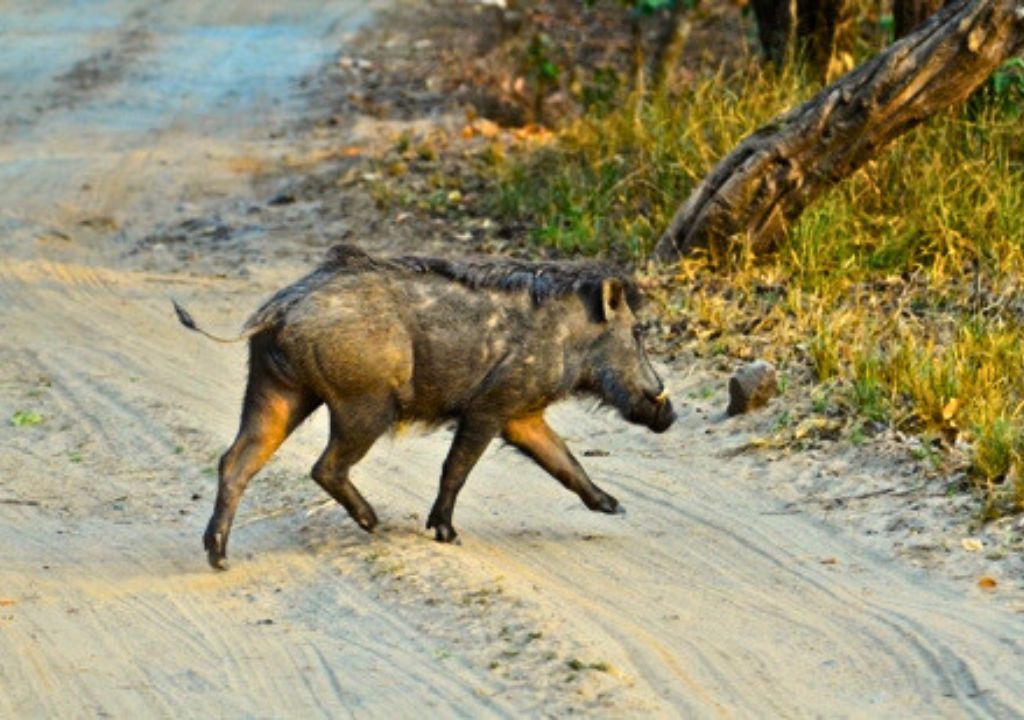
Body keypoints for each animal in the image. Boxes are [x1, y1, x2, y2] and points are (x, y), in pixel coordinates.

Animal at [174, 244, 674, 569]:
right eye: (637, 333)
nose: (670, 415)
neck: (569, 337)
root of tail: (279, 309)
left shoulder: (521, 415)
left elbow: (565, 462)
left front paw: (614, 507)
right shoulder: (489, 408)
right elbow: (457, 468)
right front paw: (446, 534)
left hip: (277, 390)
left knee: (235, 461)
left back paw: (218, 557)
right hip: (364, 405)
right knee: (324, 466)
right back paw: (373, 523)